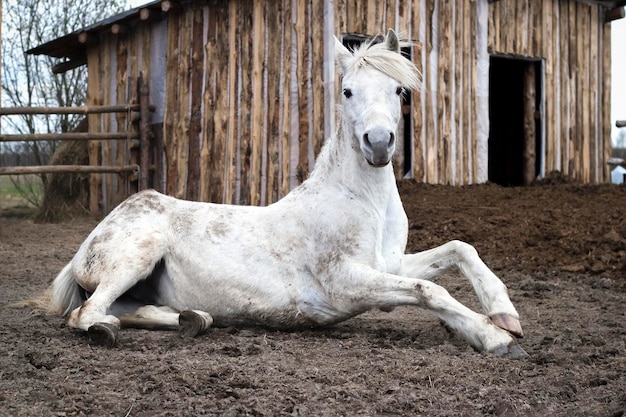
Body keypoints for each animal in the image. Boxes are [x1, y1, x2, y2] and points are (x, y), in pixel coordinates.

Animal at [31, 29, 524, 356]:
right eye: (347, 91)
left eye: (400, 90)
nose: (379, 142)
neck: (362, 203)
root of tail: (91, 241)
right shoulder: (347, 283)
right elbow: (429, 290)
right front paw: (493, 336)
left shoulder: (389, 265)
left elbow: (460, 249)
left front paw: (505, 314)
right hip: (137, 256)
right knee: (87, 314)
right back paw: (111, 330)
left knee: (133, 308)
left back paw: (194, 318)